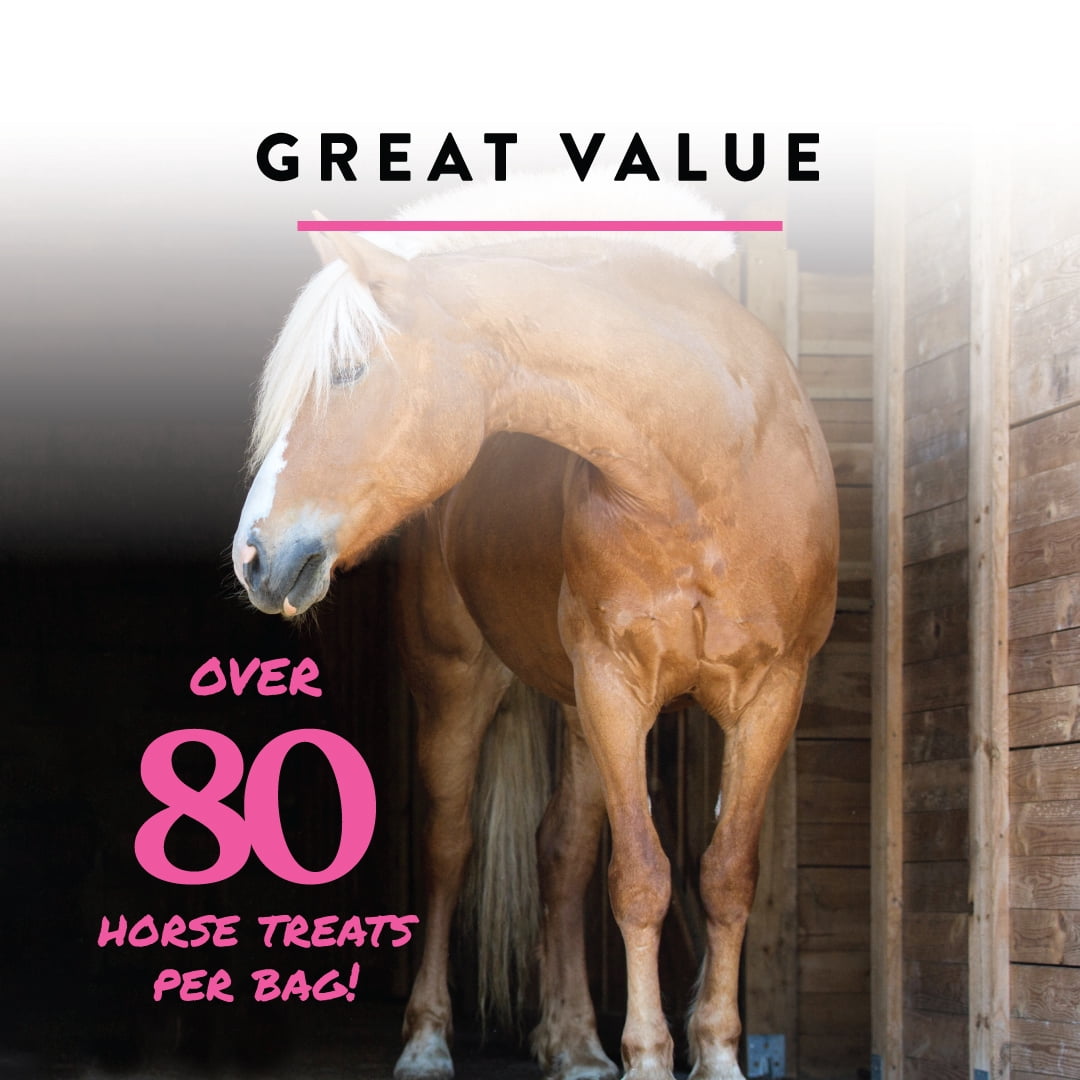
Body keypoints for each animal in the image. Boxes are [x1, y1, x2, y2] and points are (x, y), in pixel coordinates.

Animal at [231, 181, 838, 1080]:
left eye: (346, 371)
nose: (254, 557)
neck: (712, 466)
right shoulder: (615, 685)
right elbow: (640, 880)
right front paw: (650, 1058)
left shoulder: (770, 695)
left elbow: (725, 875)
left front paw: (716, 1056)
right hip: (463, 684)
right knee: (450, 848)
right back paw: (429, 1040)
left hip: (580, 714)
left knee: (562, 850)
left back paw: (576, 1043)